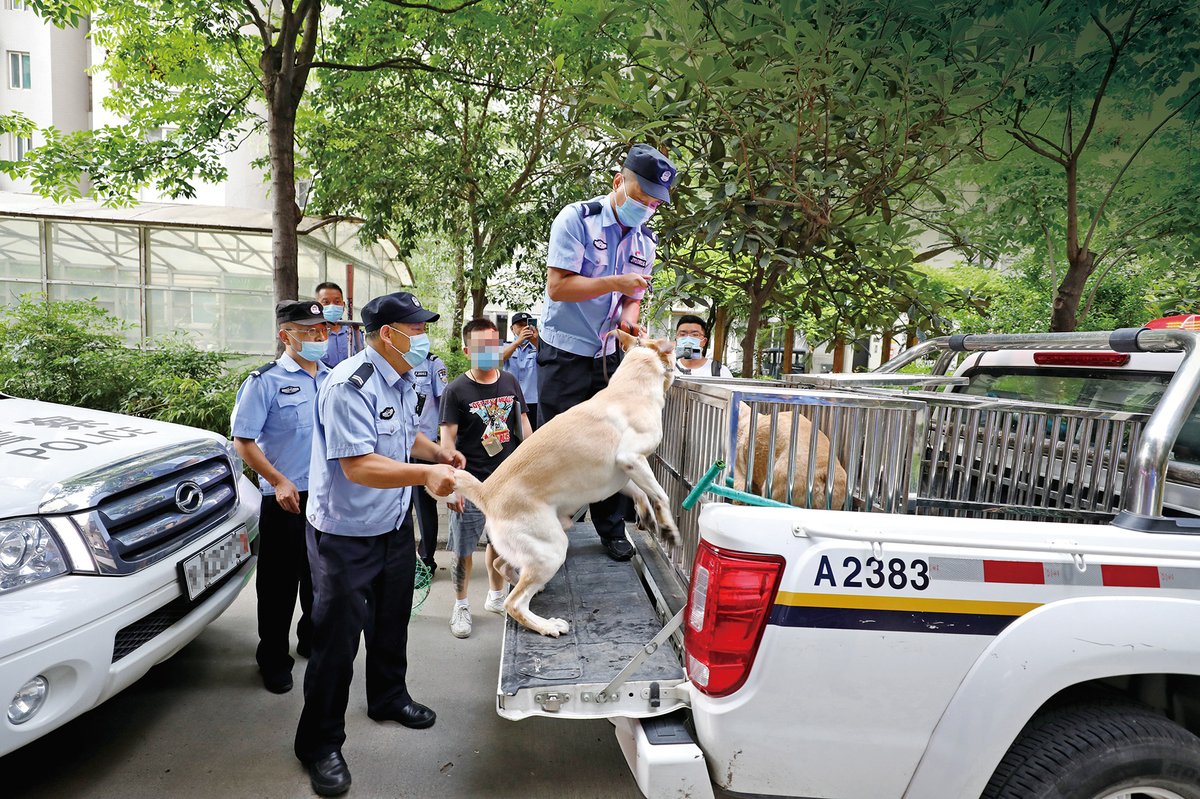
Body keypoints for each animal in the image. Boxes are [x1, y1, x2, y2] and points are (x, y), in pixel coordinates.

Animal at [444, 328, 686, 633]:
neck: (631, 386)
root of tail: (486, 494)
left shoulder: (624, 472)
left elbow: (643, 494)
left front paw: (647, 515)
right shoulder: (631, 458)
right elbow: (661, 495)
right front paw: (669, 529)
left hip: (535, 546)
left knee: (502, 566)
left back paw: (532, 587)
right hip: (552, 548)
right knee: (514, 602)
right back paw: (546, 625)